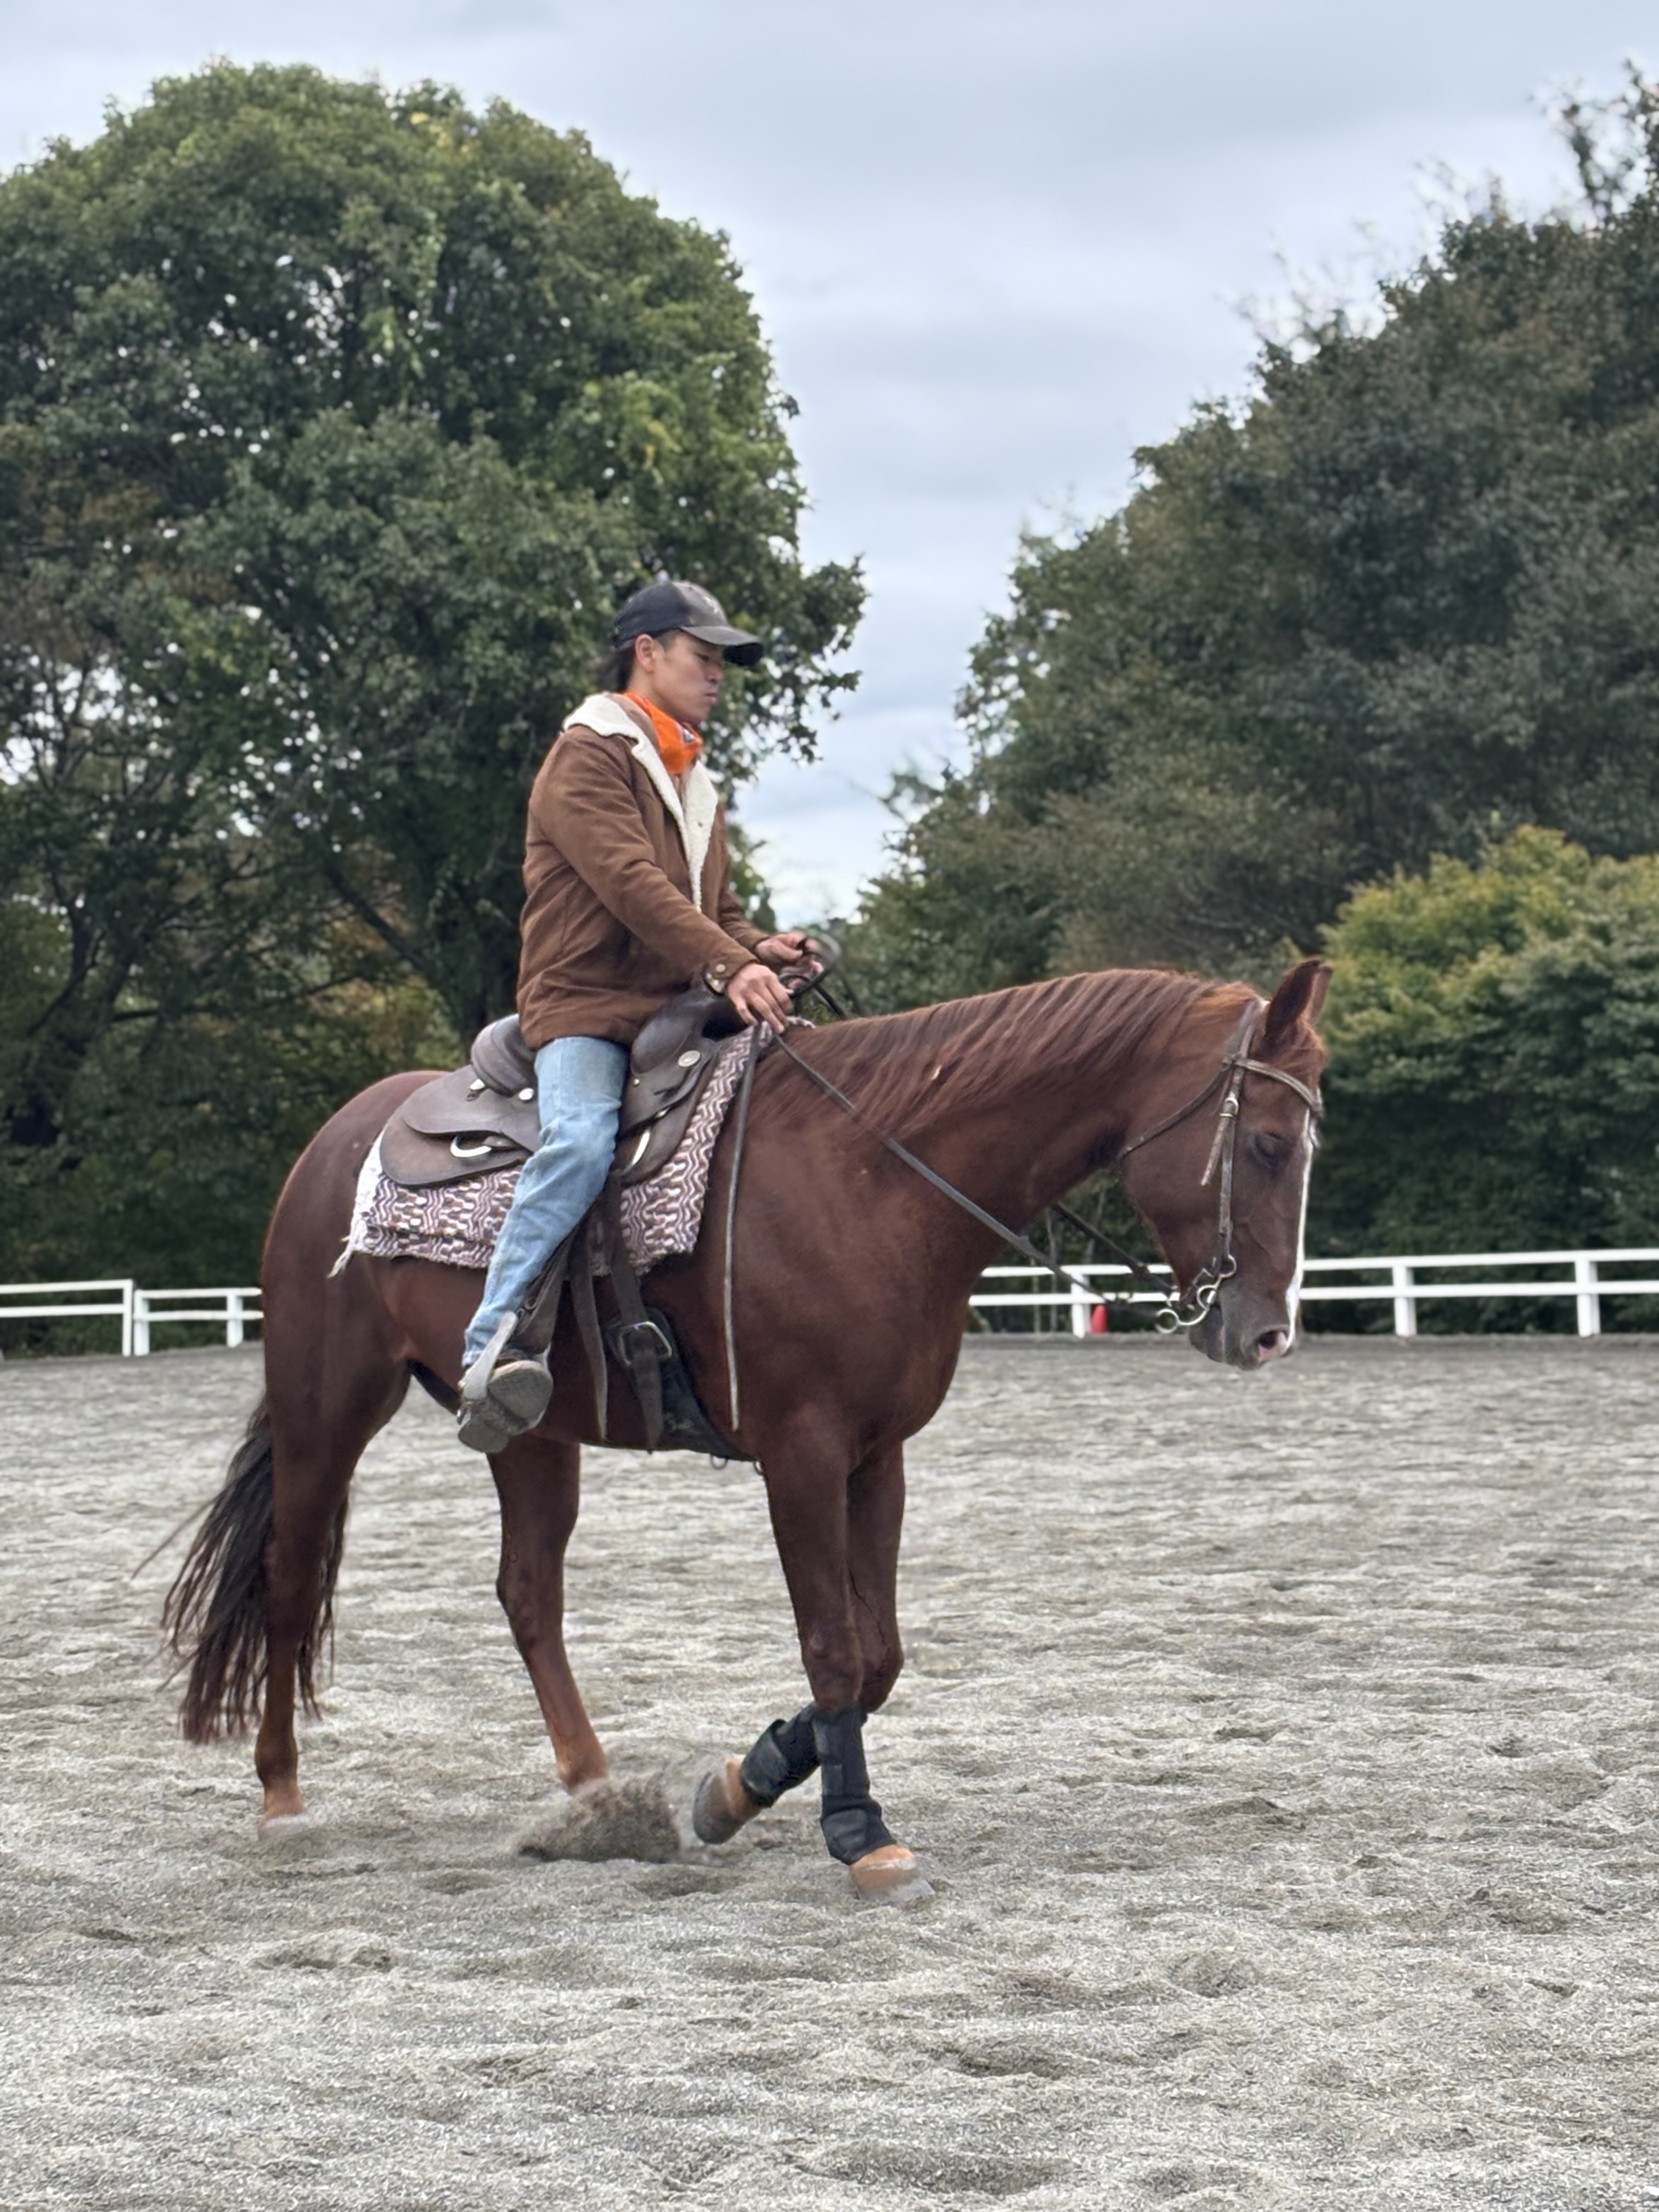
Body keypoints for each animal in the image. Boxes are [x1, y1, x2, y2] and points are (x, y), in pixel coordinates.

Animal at [165, 957, 1329, 1898]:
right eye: (1269, 1143)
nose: (1266, 1332)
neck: (874, 1176)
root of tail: (339, 1138)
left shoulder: (877, 1454)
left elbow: (878, 1655)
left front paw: (738, 1785)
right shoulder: (799, 1454)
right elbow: (831, 1648)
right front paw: (857, 1832)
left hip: (532, 1438)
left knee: (527, 1593)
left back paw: (595, 1796)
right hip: (326, 1407)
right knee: (288, 1577)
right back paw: (282, 1799)